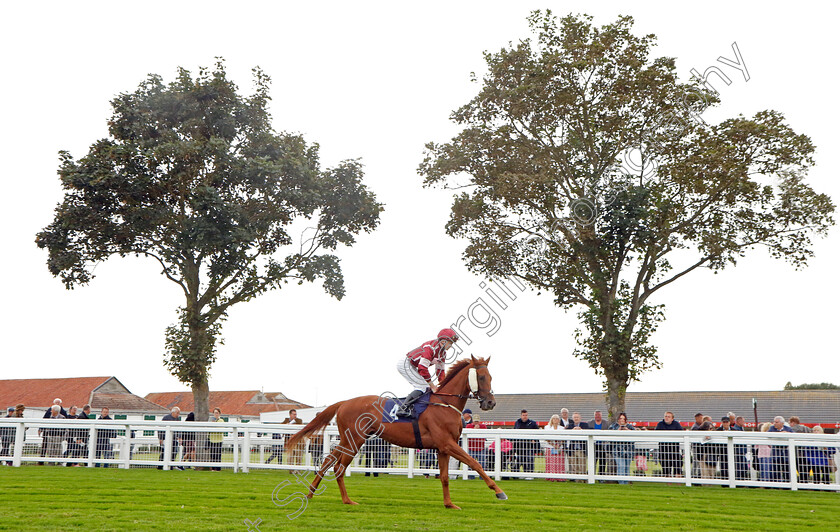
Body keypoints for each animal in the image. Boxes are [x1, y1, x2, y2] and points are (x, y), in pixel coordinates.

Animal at [288, 356, 506, 510]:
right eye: (481, 377)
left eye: (491, 377)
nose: (490, 402)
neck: (444, 403)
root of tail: (344, 402)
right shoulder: (447, 443)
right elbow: (475, 463)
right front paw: (499, 492)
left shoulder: (442, 447)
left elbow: (444, 476)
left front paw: (449, 504)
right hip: (355, 440)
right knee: (339, 467)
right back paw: (347, 500)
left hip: (348, 439)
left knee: (328, 461)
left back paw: (311, 492)